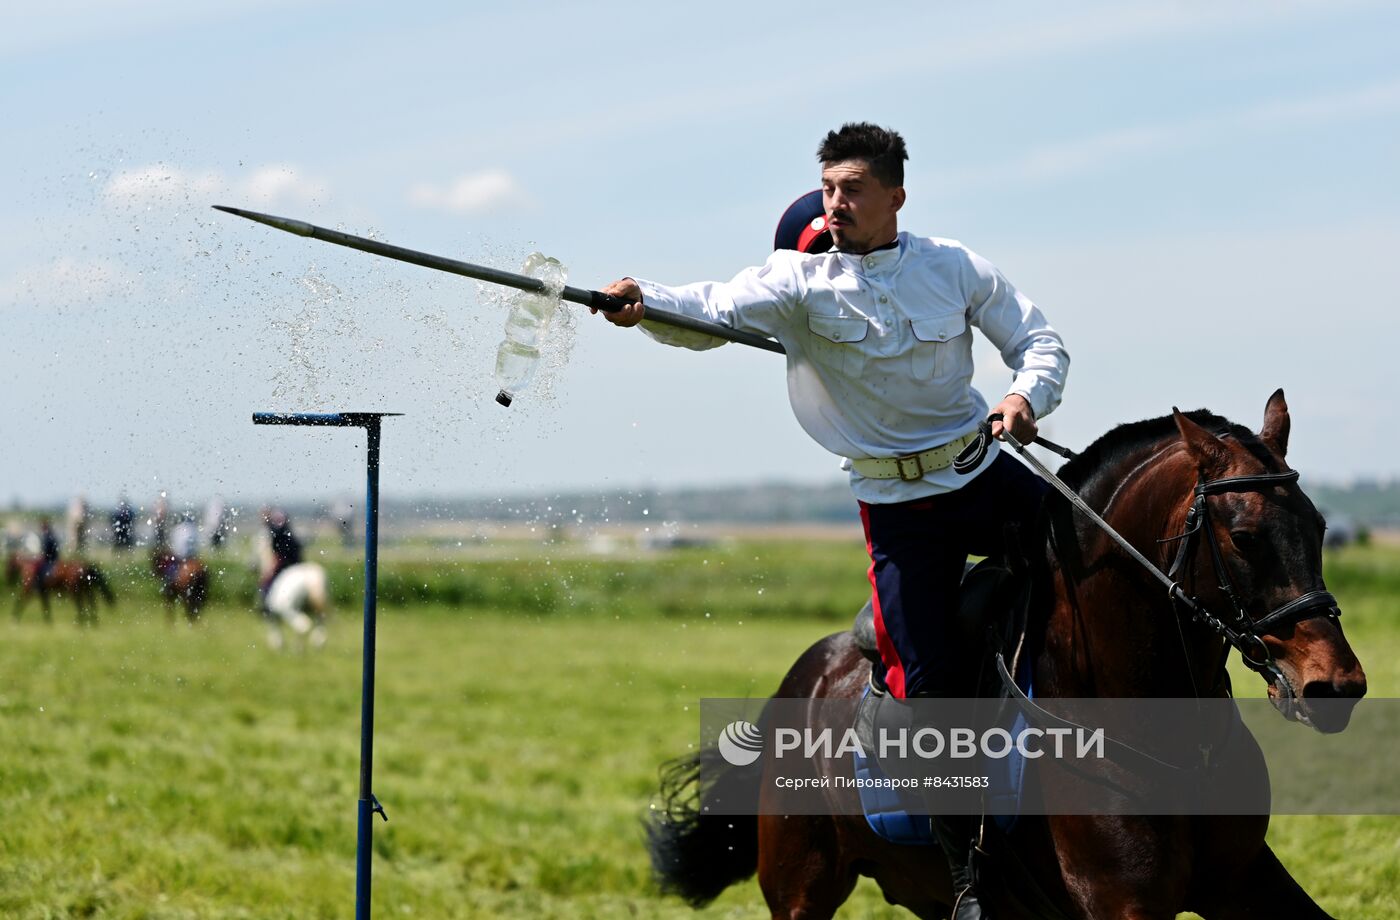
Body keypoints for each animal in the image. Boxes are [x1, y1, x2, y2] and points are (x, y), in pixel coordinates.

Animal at [652, 392, 1366, 918]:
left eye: (1320, 527)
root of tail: (803, 679)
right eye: (1244, 537)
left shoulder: (1244, 878)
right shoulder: (1122, 903)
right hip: (802, 887)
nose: (1337, 685)